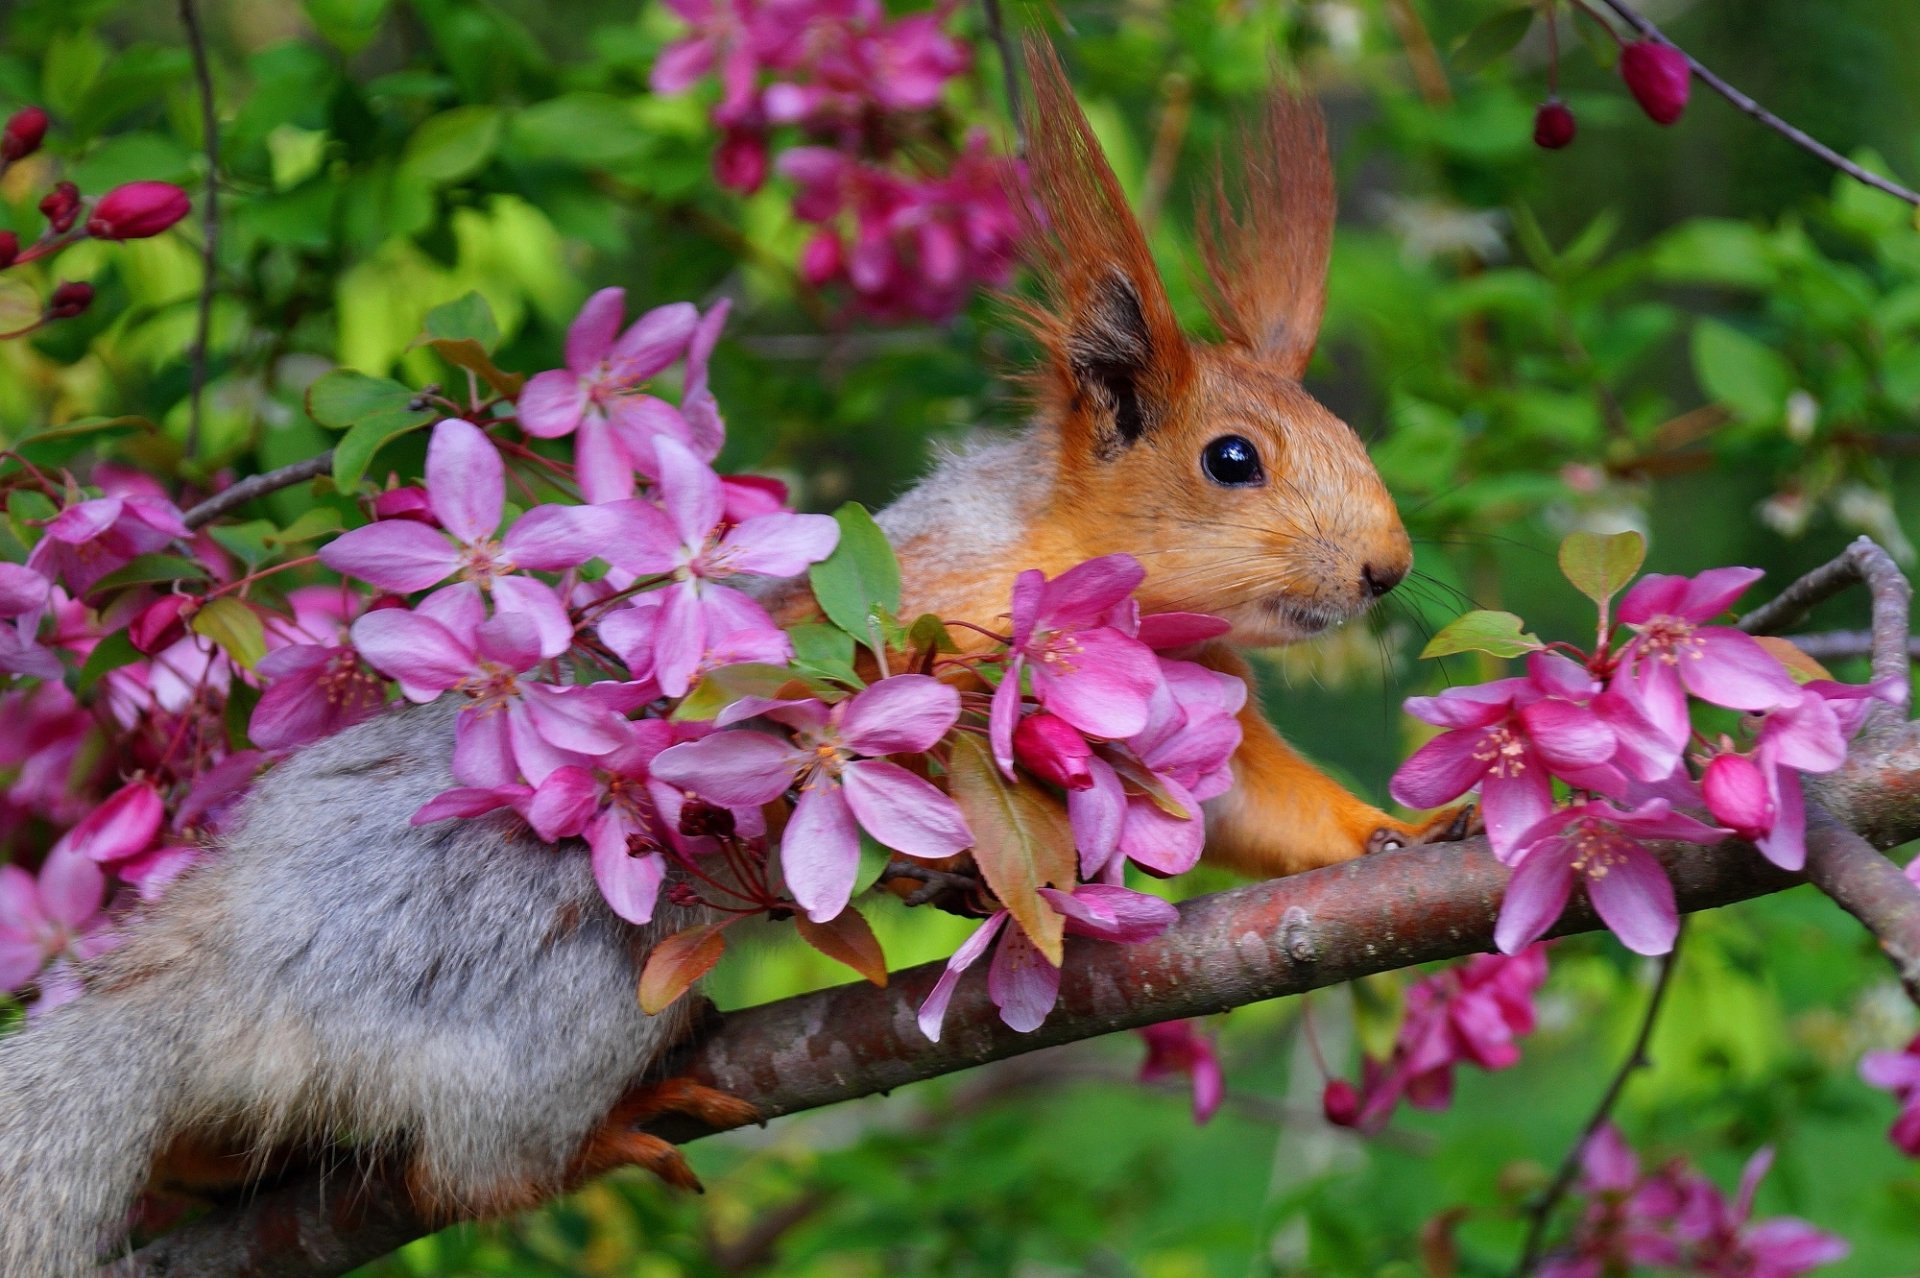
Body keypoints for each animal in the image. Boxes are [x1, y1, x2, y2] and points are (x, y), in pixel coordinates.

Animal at [0, 41, 1465, 1277]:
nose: (1387, 566)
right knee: (470, 1169)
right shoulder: (924, 625)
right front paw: (962, 867)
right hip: (564, 966)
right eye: (1233, 459)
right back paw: (613, 1130)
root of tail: (230, 968)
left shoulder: (1202, 721)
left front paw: (1403, 829)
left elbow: (1267, 812)